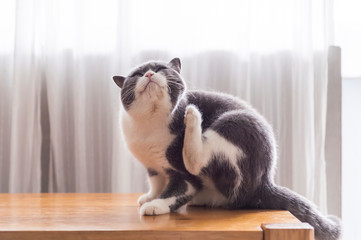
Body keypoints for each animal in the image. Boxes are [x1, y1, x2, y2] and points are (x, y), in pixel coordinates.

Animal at [113, 58, 340, 240]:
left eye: (161, 68)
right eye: (137, 75)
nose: (150, 74)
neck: (149, 126)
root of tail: (264, 181)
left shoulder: (183, 173)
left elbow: (178, 189)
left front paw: (155, 205)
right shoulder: (152, 166)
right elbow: (156, 181)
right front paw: (150, 196)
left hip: (235, 123)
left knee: (198, 161)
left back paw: (193, 116)